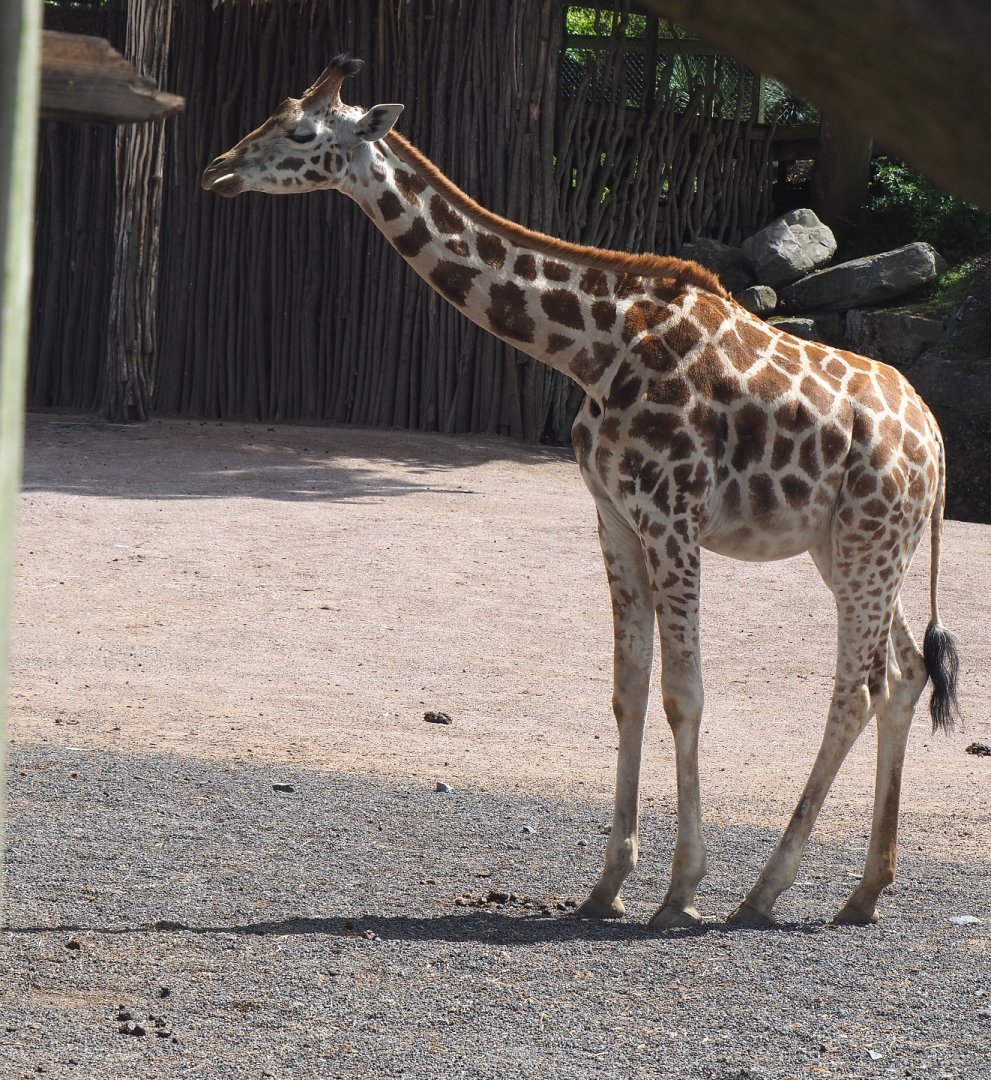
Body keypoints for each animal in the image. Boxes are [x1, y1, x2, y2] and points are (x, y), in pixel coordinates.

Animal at [202, 55, 961, 928]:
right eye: (272, 115)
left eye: (300, 132)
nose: (217, 170)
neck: (593, 346)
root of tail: (936, 441)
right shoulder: (612, 516)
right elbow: (627, 692)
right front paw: (606, 886)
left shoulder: (672, 515)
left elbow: (683, 694)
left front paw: (681, 889)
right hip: (852, 548)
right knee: (903, 674)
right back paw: (862, 893)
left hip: (870, 541)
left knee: (854, 689)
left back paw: (764, 891)